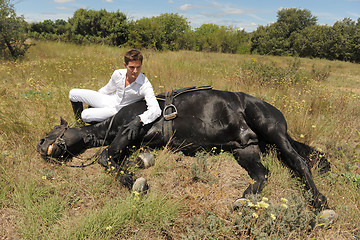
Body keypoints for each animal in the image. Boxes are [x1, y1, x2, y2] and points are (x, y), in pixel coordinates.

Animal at [37, 87, 332, 210]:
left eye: (53, 130)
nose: (40, 146)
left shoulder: (130, 128)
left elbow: (104, 157)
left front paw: (136, 183)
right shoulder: (136, 141)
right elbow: (121, 158)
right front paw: (137, 169)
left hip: (272, 131)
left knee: (298, 162)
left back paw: (319, 202)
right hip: (245, 148)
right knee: (262, 174)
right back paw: (244, 200)